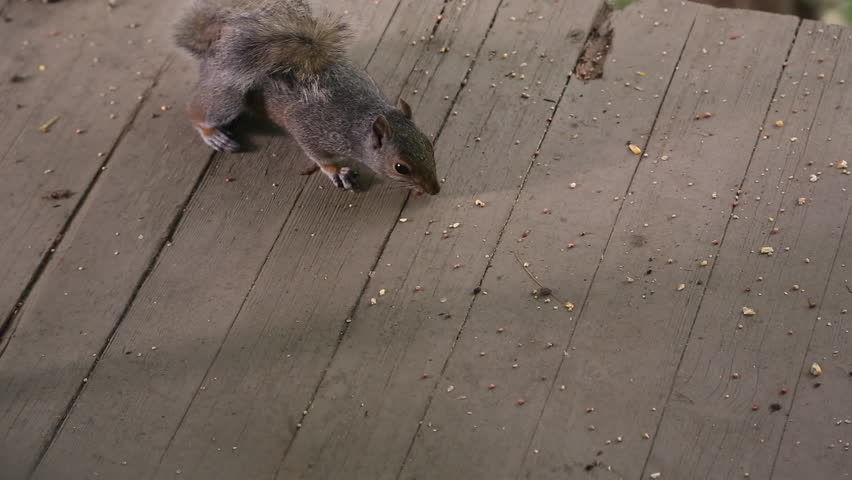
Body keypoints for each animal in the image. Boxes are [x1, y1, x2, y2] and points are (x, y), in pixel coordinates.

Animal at [173, 0, 440, 195]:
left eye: (429, 144)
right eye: (401, 167)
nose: (435, 190)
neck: (360, 119)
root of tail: (215, 45)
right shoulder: (309, 129)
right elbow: (320, 157)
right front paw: (337, 171)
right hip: (228, 96)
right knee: (198, 112)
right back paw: (213, 135)